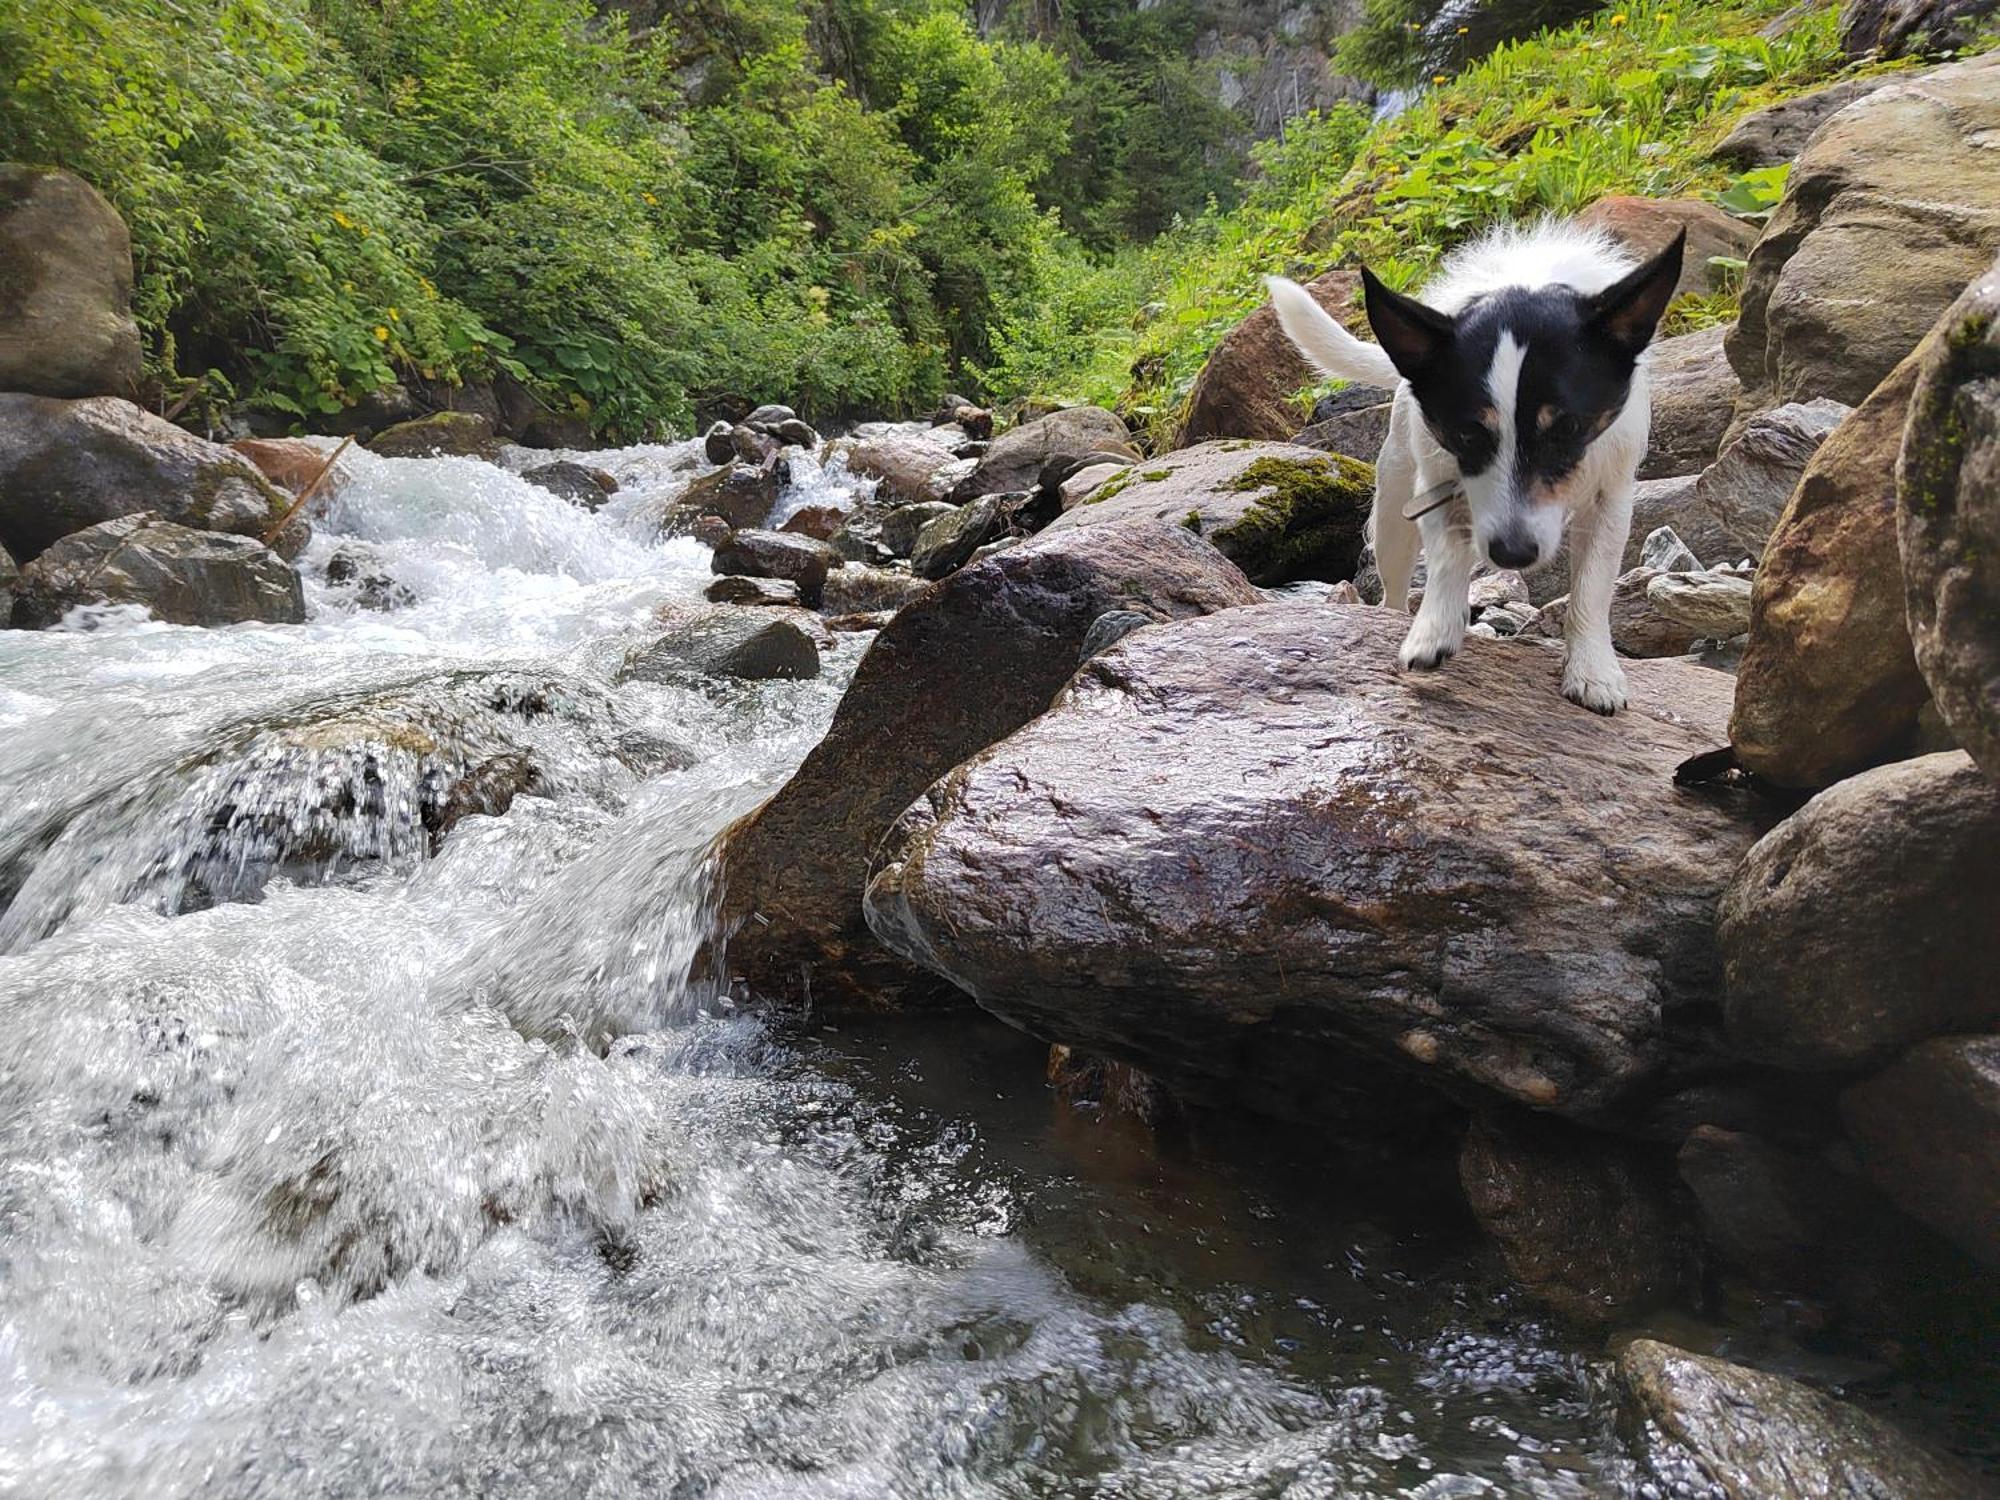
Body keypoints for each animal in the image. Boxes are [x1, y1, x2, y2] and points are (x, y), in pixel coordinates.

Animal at [1264, 222, 1688, 716]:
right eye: (1467, 435)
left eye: (1569, 428)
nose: (1512, 553)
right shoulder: (1437, 485)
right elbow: (1449, 554)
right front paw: (1435, 629)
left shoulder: (1611, 497)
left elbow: (1592, 586)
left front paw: (1592, 670)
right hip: (1393, 514)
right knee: (1393, 585)